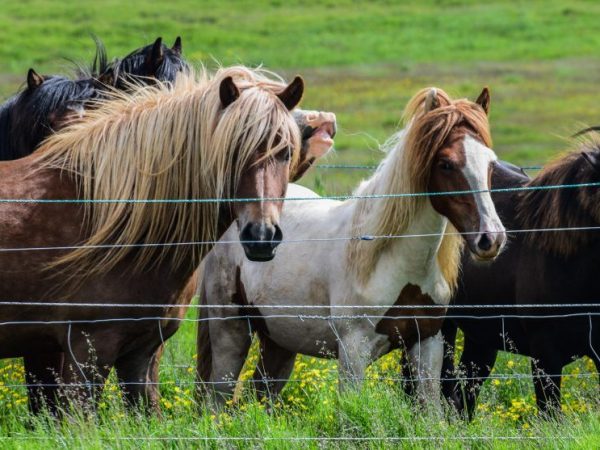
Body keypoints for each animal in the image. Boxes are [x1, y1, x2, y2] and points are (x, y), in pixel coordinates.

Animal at [196, 85, 506, 408]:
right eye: (446, 163)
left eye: (491, 163)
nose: (491, 238)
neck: (392, 260)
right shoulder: (353, 351)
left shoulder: (427, 343)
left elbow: (431, 409)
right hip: (230, 329)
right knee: (217, 400)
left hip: (278, 341)